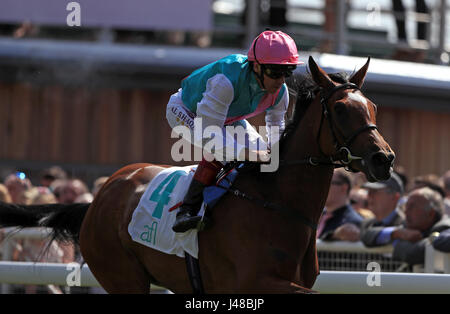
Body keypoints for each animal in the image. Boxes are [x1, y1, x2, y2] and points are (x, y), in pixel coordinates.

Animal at [0, 55, 394, 292]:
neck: (278, 204)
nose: (384, 159)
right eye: (341, 110)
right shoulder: (256, 282)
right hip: (122, 276)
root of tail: (97, 199)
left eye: (373, 106)